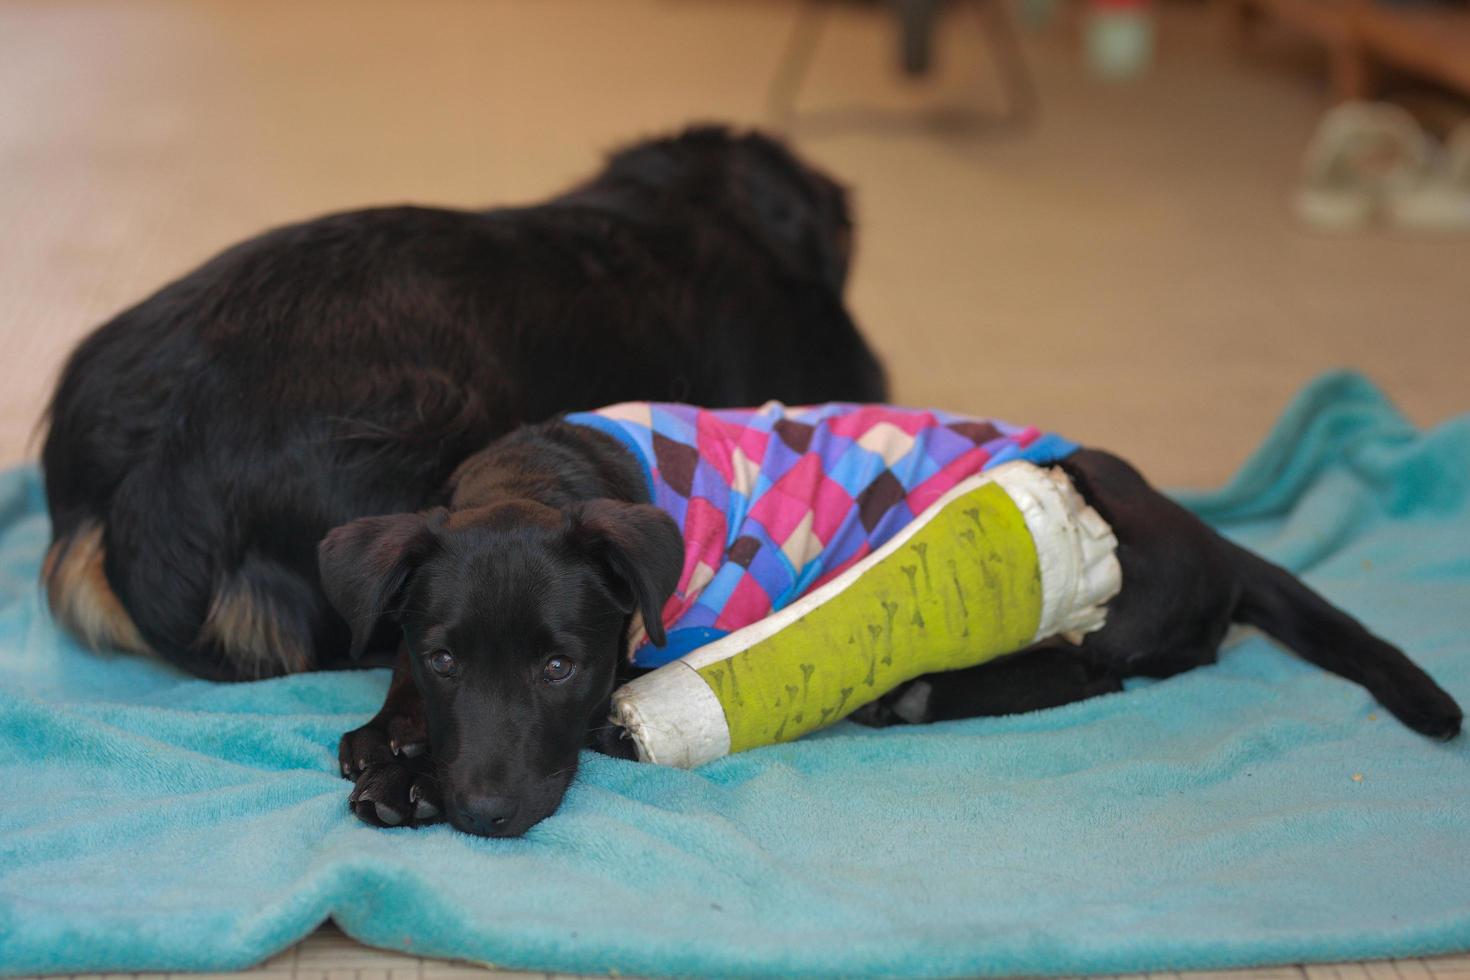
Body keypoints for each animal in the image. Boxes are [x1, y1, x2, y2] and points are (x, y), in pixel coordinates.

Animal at [318, 411, 1458, 840]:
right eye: (446, 656)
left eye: (562, 668)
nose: (484, 811)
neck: (539, 471)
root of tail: (1210, 537)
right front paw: (393, 735)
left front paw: (413, 781)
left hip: (1120, 592)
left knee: (1093, 671)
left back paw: (918, 692)